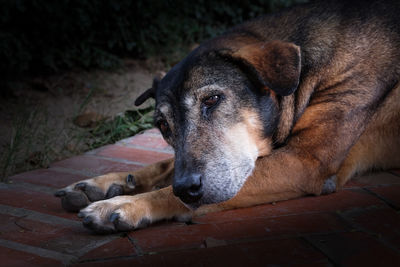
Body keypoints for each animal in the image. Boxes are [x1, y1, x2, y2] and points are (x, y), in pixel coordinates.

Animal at [54, 0, 400, 233]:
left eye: (212, 99)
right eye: (163, 126)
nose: (187, 187)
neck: (304, 71)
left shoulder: (304, 162)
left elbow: (173, 190)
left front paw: (126, 204)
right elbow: (164, 165)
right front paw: (105, 183)